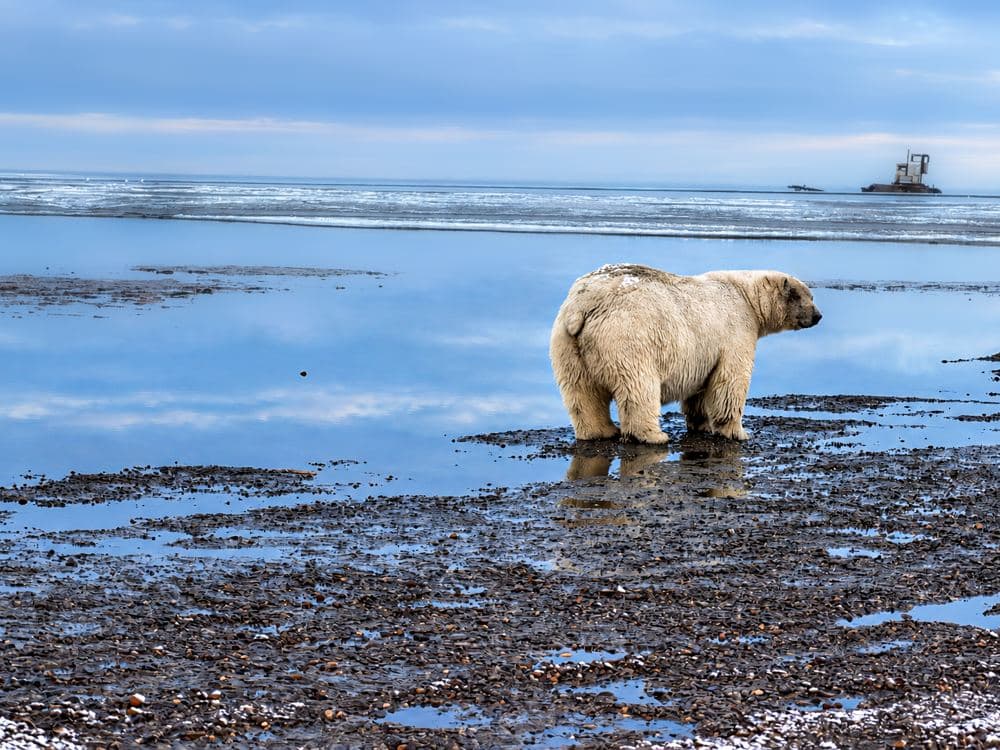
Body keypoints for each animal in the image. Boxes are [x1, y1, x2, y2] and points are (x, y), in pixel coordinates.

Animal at [549, 263, 822, 444]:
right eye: (803, 296)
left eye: (811, 295)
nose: (818, 316)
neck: (746, 295)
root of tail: (585, 305)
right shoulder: (736, 330)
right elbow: (730, 382)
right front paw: (739, 432)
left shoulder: (704, 352)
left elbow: (700, 388)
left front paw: (701, 424)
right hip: (628, 337)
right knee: (639, 387)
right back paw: (654, 435)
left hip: (567, 345)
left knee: (582, 392)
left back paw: (600, 431)